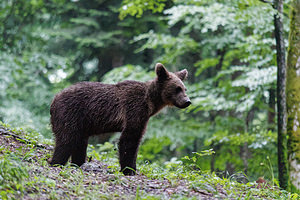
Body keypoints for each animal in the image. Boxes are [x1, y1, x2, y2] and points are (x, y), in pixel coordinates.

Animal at [49, 63, 190, 175]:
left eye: (184, 88)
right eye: (177, 88)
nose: (187, 101)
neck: (150, 103)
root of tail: (54, 99)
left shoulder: (143, 116)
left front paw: (132, 168)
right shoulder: (134, 109)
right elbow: (129, 140)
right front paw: (128, 170)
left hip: (81, 124)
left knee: (79, 143)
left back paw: (77, 164)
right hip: (71, 114)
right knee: (66, 140)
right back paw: (56, 162)